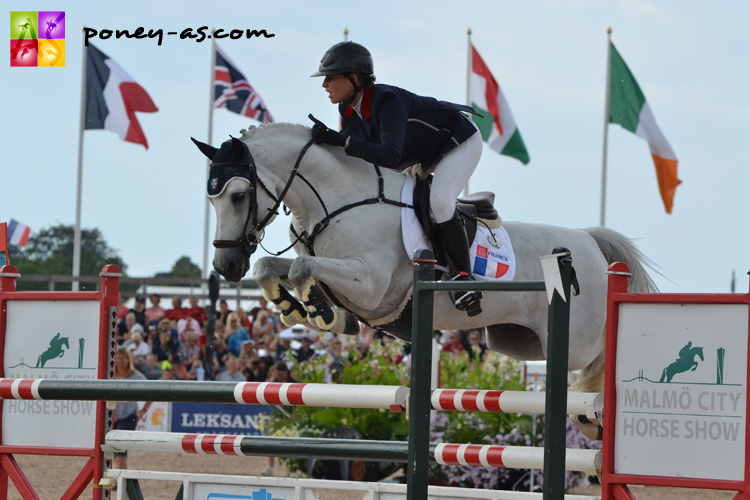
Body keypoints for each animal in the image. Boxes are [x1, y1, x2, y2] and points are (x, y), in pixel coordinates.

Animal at [195, 124, 656, 398]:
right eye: (211, 198)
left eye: (239, 195)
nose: (225, 266)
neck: (336, 201)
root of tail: (589, 242)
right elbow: (274, 268)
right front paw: (299, 308)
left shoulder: (372, 285)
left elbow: (303, 268)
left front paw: (319, 311)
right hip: (514, 341)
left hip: (578, 342)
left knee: (599, 360)